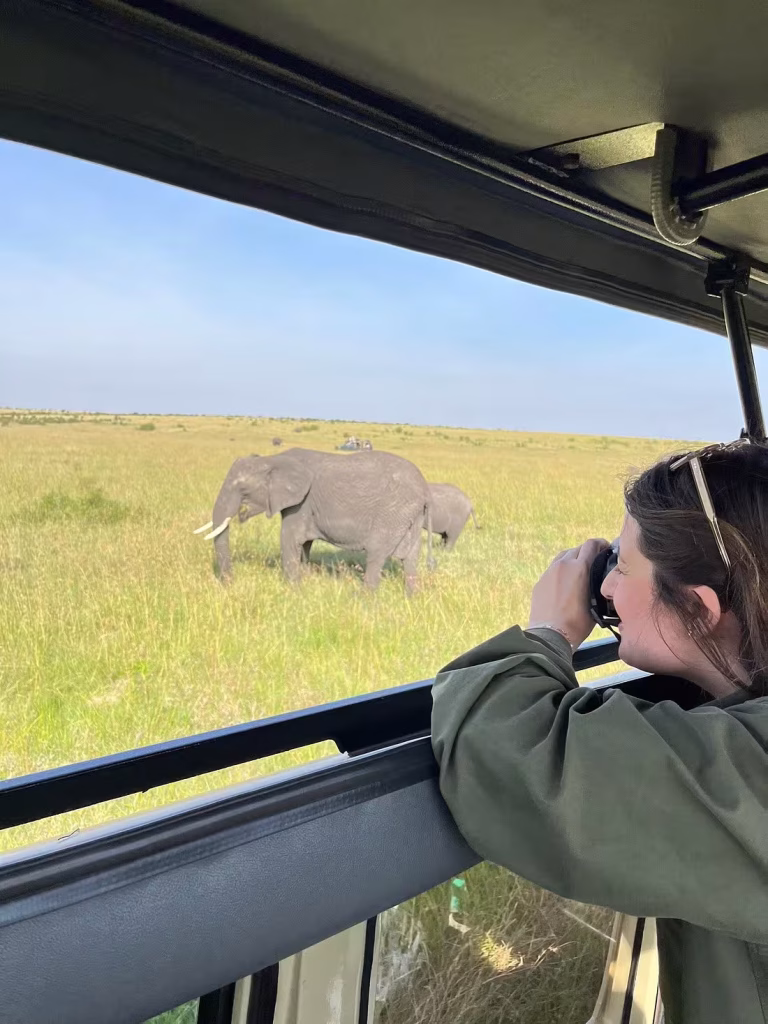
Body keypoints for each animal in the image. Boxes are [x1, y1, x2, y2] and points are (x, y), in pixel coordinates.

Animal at [194, 448, 434, 593]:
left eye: (242, 490)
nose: (230, 582)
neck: (272, 459)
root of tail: (424, 489)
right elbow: (304, 546)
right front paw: (306, 581)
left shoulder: (301, 503)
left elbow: (289, 541)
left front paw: (294, 592)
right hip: (411, 514)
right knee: (410, 558)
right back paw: (410, 597)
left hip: (392, 512)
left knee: (376, 553)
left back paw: (362, 599)